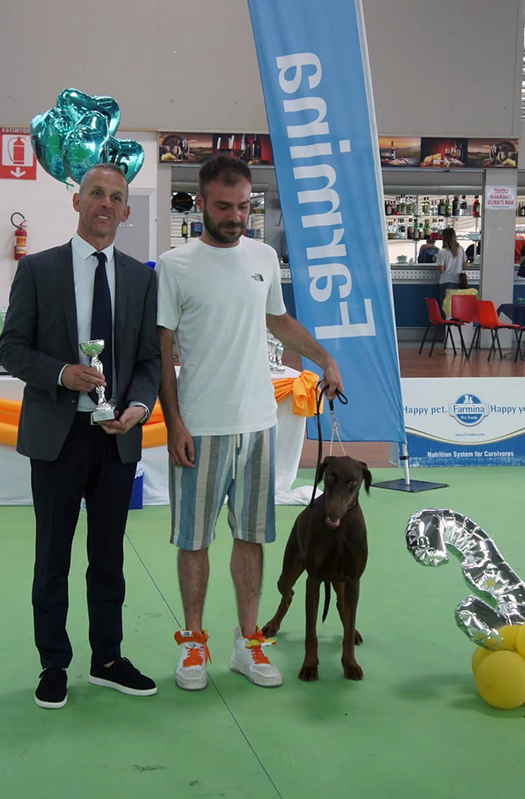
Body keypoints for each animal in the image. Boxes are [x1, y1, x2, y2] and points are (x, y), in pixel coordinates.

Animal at [263, 456, 371, 681]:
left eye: (353, 482)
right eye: (330, 476)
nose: (333, 514)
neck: (339, 532)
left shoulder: (353, 581)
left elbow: (348, 629)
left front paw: (350, 664)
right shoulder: (313, 581)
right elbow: (310, 633)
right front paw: (309, 666)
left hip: (339, 581)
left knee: (341, 605)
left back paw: (354, 631)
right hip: (288, 572)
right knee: (288, 594)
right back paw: (273, 624)